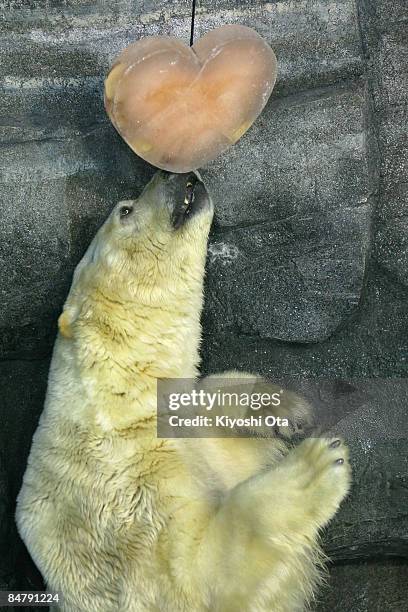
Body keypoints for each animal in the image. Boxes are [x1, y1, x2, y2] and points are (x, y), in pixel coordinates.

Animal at [16, 171, 350, 612]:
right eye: (126, 210)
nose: (174, 174)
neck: (121, 403)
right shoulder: (129, 495)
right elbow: (196, 574)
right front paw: (317, 464)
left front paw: (285, 409)